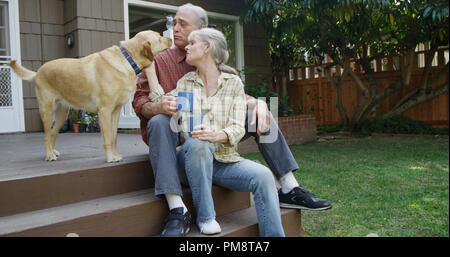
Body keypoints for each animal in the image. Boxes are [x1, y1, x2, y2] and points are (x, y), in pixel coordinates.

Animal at [11, 30, 172, 162]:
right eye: (159, 37)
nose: (170, 38)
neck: (128, 59)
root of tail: (37, 72)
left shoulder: (115, 111)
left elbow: (114, 137)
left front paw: (115, 155)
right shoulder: (105, 110)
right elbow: (107, 138)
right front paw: (110, 158)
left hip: (62, 113)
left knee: (52, 133)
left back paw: (53, 151)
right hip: (47, 110)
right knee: (45, 135)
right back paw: (49, 155)